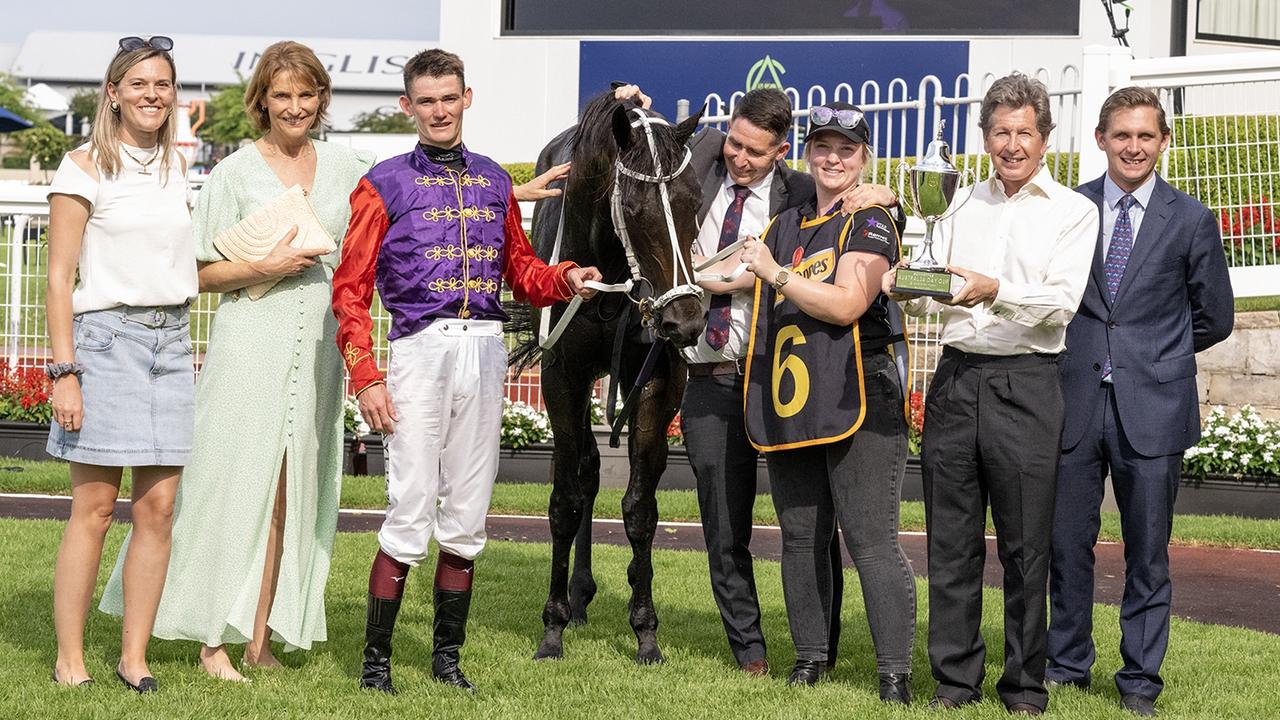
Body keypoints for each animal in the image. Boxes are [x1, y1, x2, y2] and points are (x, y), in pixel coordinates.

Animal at [512, 90, 711, 661]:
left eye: (694, 203)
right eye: (636, 209)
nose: (686, 319)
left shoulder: (657, 376)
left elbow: (641, 507)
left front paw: (645, 629)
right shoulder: (564, 376)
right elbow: (566, 499)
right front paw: (552, 627)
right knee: (585, 468)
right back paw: (576, 597)